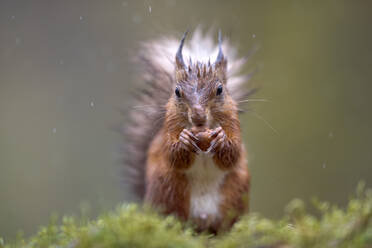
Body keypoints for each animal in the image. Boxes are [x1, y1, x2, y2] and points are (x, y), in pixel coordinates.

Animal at [123, 29, 254, 232]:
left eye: (220, 89)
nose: (198, 116)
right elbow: (172, 155)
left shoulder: (233, 124)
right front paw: (184, 140)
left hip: (235, 196)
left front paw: (221, 138)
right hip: (169, 190)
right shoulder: (169, 128)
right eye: (177, 91)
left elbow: (233, 154)